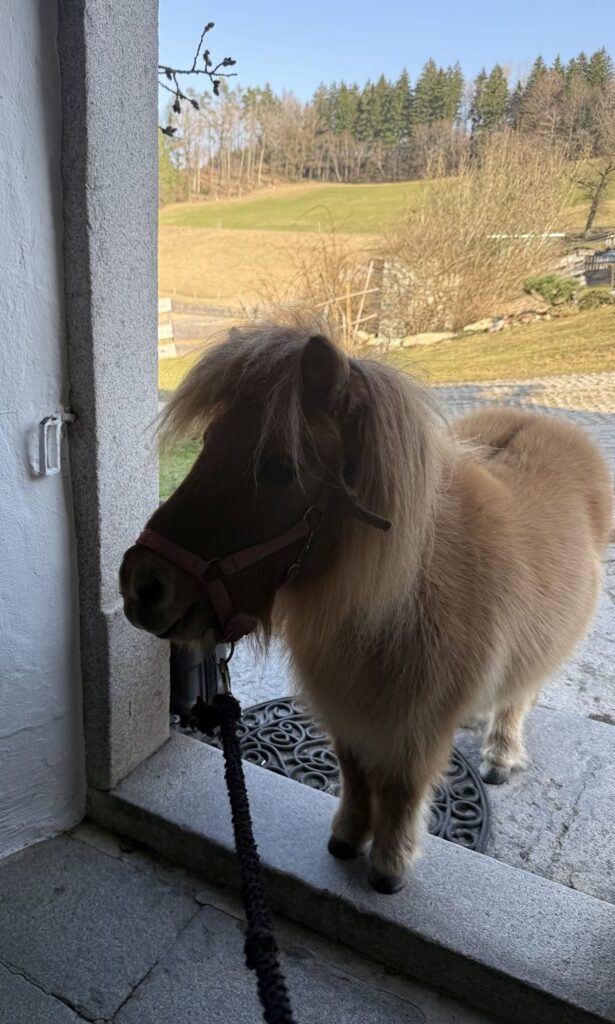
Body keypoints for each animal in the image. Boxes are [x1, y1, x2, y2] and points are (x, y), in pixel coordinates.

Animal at [120, 321, 613, 894]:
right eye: (209, 442)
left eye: (279, 468)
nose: (141, 584)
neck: (392, 603)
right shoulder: (348, 711)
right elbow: (355, 774)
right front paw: (347, 839)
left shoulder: (414, 729)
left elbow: (400, 788)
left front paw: (389, 866)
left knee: (519, 695)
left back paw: (501, 753)